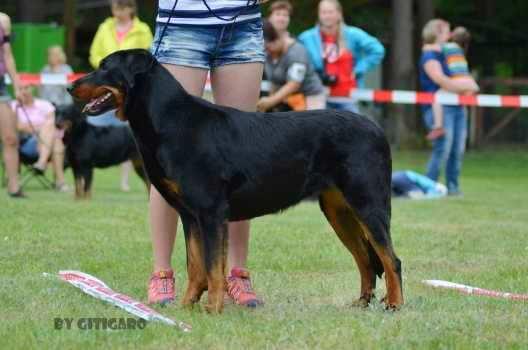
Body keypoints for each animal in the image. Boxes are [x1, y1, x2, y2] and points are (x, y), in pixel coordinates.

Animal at [68, 47, 402, 314]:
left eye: (104, 67)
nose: (71, 86)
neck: (171, 121)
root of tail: (378, 130)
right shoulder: (191, 215)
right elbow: (196, 266)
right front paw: (187, 307)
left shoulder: (211, 212)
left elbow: (214, 267)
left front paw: (213, 309)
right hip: (338, 210)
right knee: (365, 259)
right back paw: (362, 303)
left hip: (368, 202)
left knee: (389, 258)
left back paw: (394, 305)